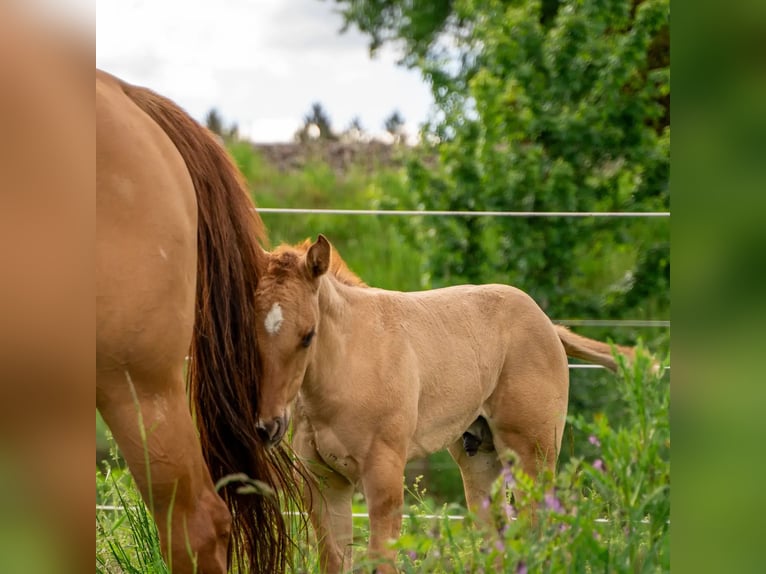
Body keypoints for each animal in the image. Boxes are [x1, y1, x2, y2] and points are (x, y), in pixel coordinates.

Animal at [250, 236, 636, 572]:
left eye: (307, 336)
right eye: (252, 332)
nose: (269, 426)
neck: (349, 363)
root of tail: (549, 326)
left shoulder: (384, 477)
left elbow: (382, 560)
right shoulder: (323, 483)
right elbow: (335, 560)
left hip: (533, 453)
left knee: (537, 532)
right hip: (480, 458)